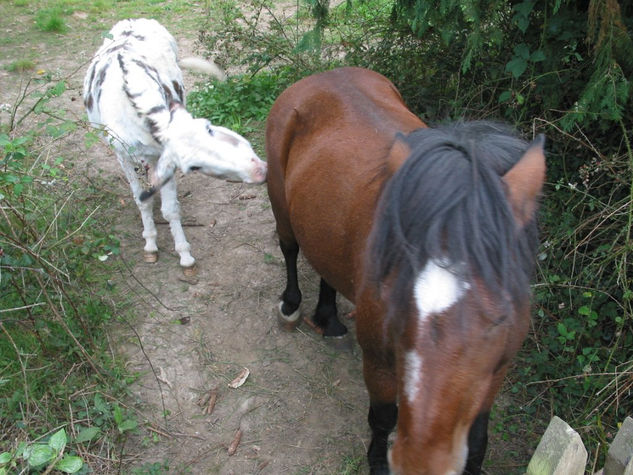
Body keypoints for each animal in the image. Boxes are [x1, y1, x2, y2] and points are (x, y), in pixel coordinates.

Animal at [264, 68, 544, 475]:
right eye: (393, 306)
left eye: (500, 319)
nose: (423, 463)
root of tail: (321, 76)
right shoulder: (379, 360)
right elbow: (383, 418)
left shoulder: (497, 371)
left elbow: (477, 437)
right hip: (279, 201)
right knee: (289, 248)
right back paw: (292, 307)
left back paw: (330, 320)